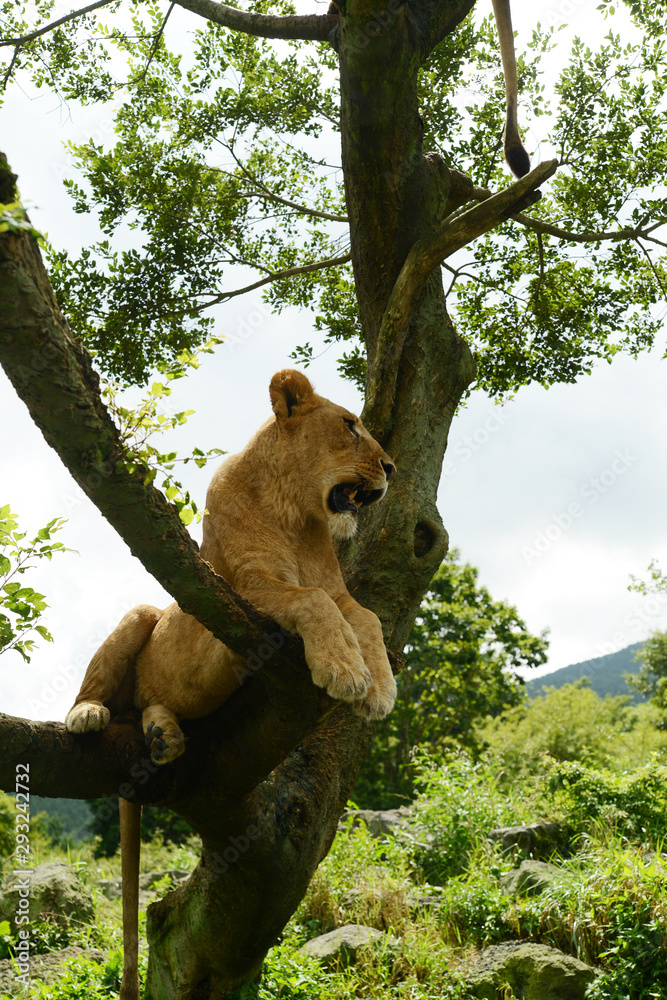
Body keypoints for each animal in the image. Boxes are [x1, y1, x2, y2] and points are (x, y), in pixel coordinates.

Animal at [65, 369, 397, 1000]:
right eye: (349, 425)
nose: (391, 467)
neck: (298, 515)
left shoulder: (339, 592)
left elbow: (366, 616)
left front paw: (380, 687)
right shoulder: (246, 588)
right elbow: (313, 603)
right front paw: (346, 674)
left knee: (150, 708)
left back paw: (166, 737)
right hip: (144, 613)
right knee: (106, 696)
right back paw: (88, 714)